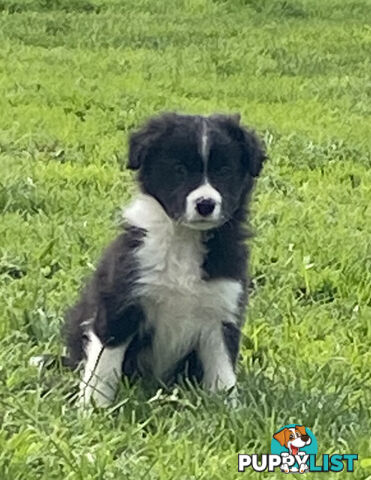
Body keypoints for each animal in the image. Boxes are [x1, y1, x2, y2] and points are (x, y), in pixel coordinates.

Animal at [64, 111, 268, 404]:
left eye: (224, 171)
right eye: (179, 169)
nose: (205, 204)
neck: (184, 239)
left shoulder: (221, 314)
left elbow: (223, 375)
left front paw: (228, 408)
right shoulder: (120, 304)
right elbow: (103, 368)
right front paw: (93, 408)